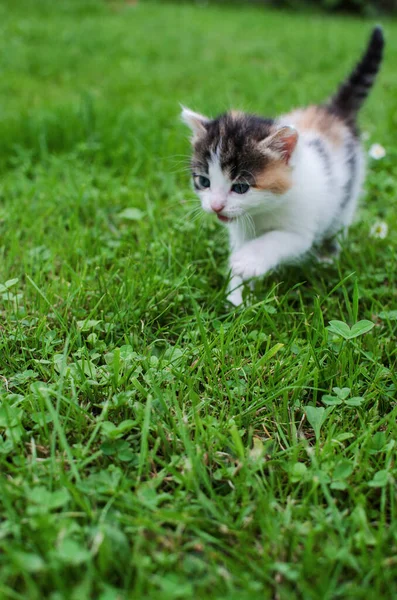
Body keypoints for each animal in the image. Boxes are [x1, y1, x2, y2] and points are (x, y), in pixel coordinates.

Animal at [181, 24, 382, 304]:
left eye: (241, 187)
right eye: (203, 181)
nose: (215, 206)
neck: (260, 213)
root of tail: (332, 113)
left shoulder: (300, 229)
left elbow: (277, 240)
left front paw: (247, 261)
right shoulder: (239, 229)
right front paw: (237, 297)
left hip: (346, 197)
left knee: (339, 223)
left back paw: (329, 257)